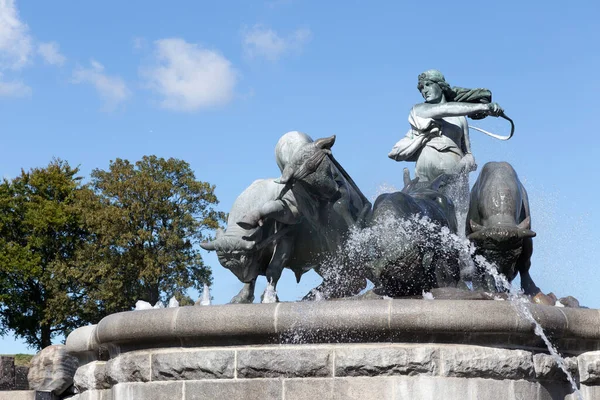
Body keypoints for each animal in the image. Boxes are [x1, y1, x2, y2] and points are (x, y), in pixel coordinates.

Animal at [466, 161, 540, 296]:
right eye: (489, 256)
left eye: (515, 255)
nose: (503, 274)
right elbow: (482, 268)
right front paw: (489, 289)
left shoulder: (526, 238)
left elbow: (525, 263)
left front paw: (530, 290)